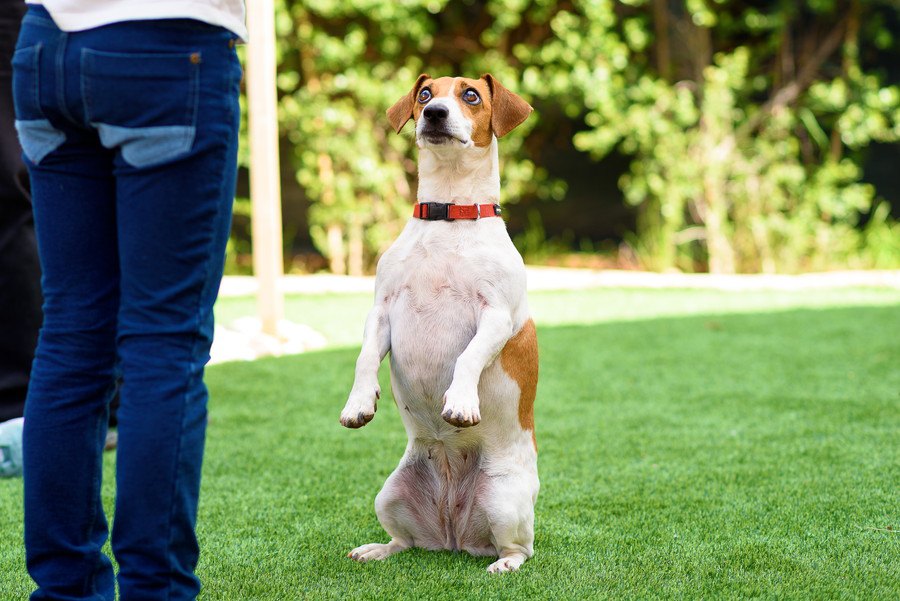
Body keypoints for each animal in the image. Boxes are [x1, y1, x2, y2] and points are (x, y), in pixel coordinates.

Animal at [342, 74, 536, 572]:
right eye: (426, 95)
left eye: (471, 95)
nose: (434, 114)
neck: (449, 216)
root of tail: (453, 537)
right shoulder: (382, 309)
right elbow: (364, 358)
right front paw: (358, 403)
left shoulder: (496, 314)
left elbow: (468, 357)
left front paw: (461, 400)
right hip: (390, 495)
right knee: (406, 542)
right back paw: (378, 549)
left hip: (504, 500)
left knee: (520, 548)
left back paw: (504, 564)